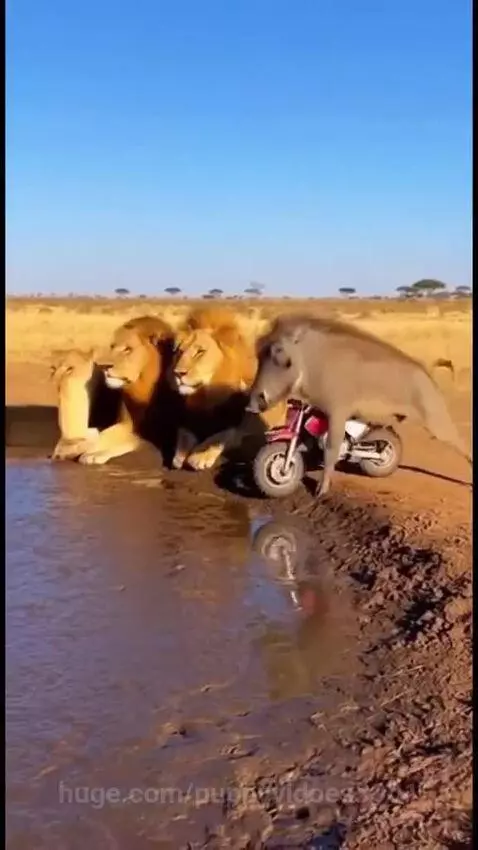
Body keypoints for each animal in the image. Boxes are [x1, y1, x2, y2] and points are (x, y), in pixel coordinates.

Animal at [77, 314, 178, 466]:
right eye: (112, 347)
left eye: (128, 349)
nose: (104, 366)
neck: (142, 389)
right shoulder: (126, 423)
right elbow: (104, 435)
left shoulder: (159, 436)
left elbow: (131, 441)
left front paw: (96, 454)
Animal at [168, 304, 286, 470]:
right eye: (180, 351)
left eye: (200, 352)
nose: (178, 373)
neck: (207, 396)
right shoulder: (191, 418)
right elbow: (184, 434)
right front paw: (180, 454)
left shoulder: (255, 423)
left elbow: (223, 435)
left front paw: (198, 456)